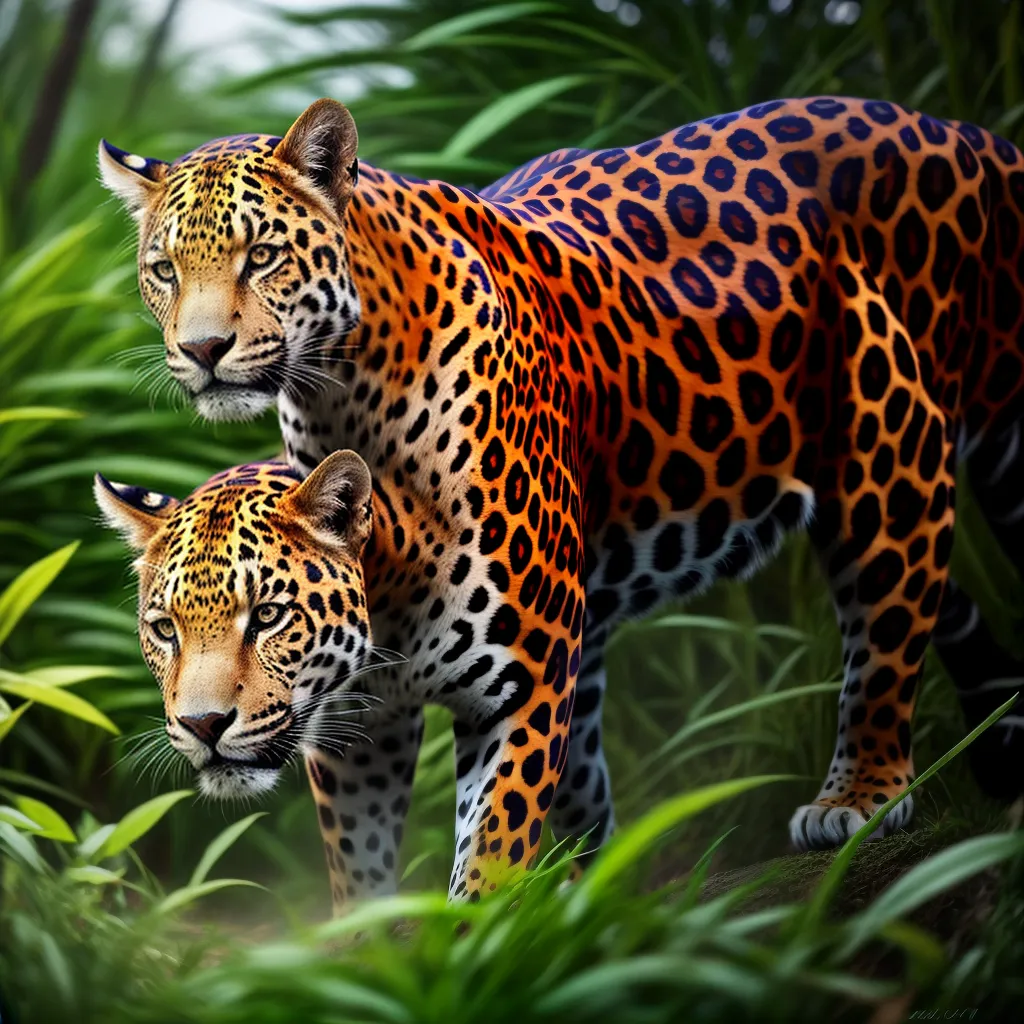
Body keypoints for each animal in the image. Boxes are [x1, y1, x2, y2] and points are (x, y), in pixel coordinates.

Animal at [99, 95, 1024, 909]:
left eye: (260, 254)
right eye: (163, 269)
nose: (202, 349)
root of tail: (962, 132)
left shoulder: (525, 679)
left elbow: (493, 850)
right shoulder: (360, 727)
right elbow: (364, 865)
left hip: (891, 441)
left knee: (886, 626)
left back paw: (858, 800)